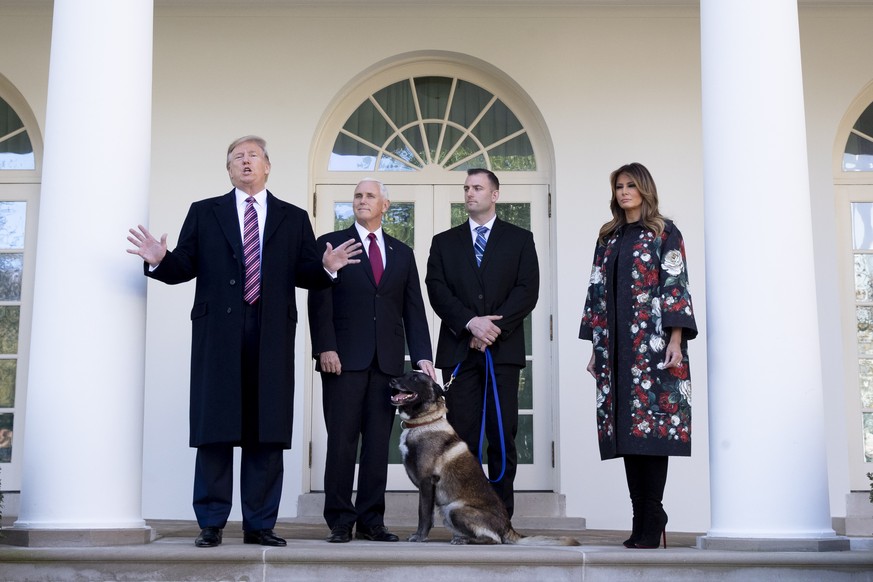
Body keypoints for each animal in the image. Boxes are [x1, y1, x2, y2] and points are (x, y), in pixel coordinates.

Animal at [390, 374, 580, 548]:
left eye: (415, 378)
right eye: (405, 374)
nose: (392, 381)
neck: (424, 422)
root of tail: (508, 528)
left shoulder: (426, 482)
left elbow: (423, 514)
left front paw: (419, 537)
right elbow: (426, 514)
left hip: (455, 509)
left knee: (494, 540)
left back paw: (464, 540)